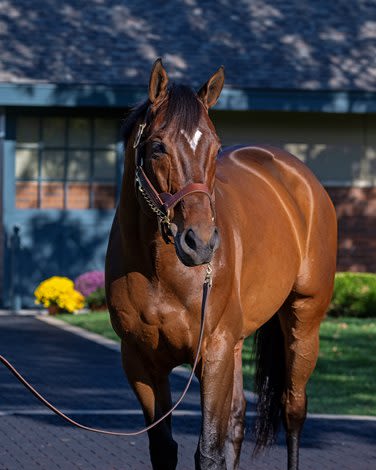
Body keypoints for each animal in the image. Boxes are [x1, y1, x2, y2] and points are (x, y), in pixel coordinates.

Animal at [106, 59, 338, 470]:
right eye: (157, 147)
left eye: (215, 148)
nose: (200, 243)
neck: (159, 273)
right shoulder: (140, 361)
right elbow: (165, 448)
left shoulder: (212, 354)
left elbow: (210, 452)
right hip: (236, 344)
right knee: (238, 419)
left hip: (303, 323)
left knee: (293, 410)